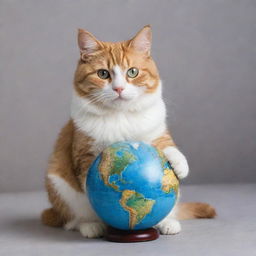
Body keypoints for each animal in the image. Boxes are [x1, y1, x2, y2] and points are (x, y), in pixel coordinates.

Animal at [40, 25, 216, 238]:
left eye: (132, 72)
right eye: (103, 74)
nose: (119, 88)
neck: (120, 115)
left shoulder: (156, 132)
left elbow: (169, 146)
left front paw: (181, 165)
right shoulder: (85, 152)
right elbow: (88, 183)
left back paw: (166, 222)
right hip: (58, 184)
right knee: (72, 220)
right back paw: (91, 226)